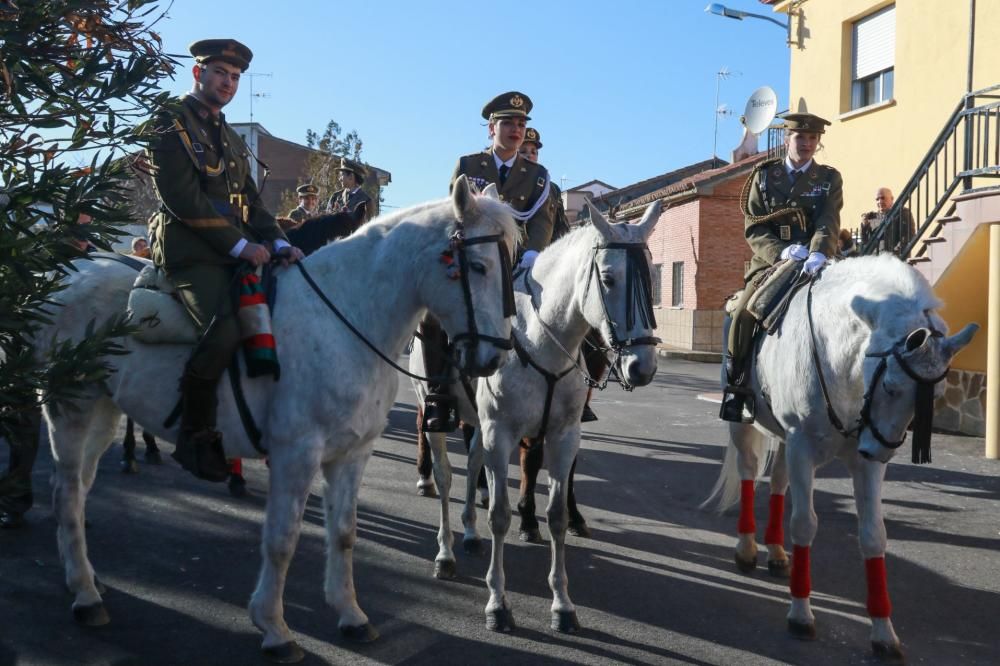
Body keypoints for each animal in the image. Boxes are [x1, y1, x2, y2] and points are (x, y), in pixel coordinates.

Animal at [35, 179, 520, 660]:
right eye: (478, 266)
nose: (496, 357)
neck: (343, 317)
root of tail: (68, 273)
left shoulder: (353, 454)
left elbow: (344, 533)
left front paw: (351, 615)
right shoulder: (296, 454)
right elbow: (282, 539)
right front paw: (273, 627)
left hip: (103, 412)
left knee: (80, 488)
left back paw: (88, 578)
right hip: (71, 410)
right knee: (65, 494)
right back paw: (85, 596)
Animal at [410, 201, 660, 632]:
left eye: (649, 277)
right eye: (608, 279)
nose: (642, 367)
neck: (541, 342)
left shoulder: (564, 436)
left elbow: (556, 515)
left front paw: (562, 604)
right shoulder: (501, 434)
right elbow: (499, 514)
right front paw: (497, 603)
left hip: (478, 423)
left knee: (472, 463)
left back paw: (469, 533)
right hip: (434, 408)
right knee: (444, 474)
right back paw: (445, 553)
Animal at [708, 252, 980, 656]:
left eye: (935, 395)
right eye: (890, 385)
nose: (878, 450)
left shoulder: (858, 462)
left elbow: (873, 534)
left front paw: (883, 632)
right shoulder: (803, 446)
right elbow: (805, 524)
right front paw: (800, 614)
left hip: (788, 442)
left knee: (778, 483)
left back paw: (777, 552)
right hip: (745, 426)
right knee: (748, 471)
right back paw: (747, 548)